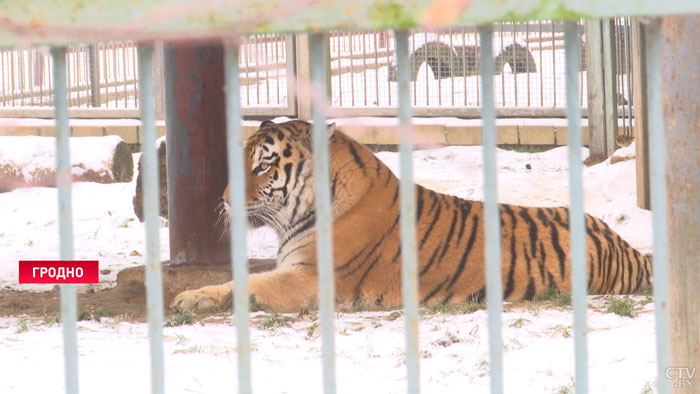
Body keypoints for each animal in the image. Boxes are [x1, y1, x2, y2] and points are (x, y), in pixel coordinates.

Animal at [170, 118, 652, 312]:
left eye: (263, 166)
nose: (225, 199)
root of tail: (627, 247)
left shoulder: (311, 278)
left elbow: (246, 284)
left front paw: (191, 298)